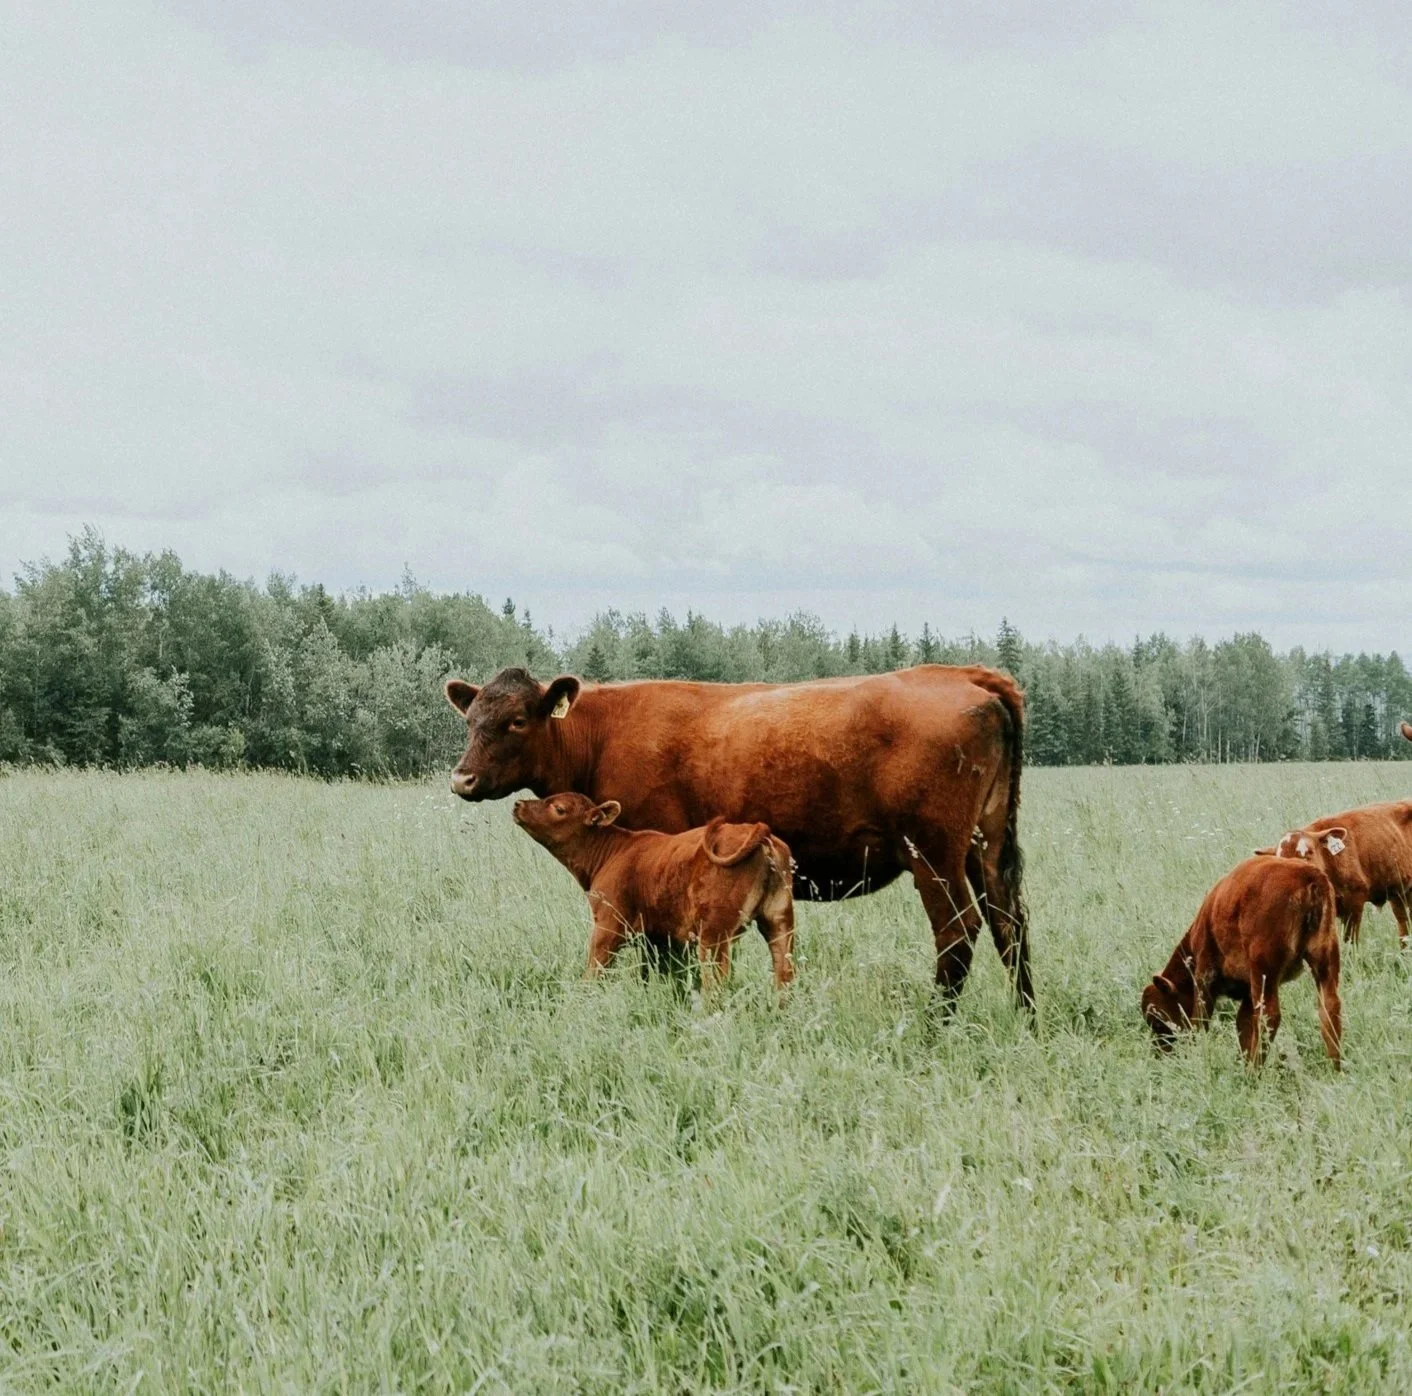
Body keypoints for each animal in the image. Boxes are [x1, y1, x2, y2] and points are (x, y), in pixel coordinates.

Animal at [511, 793, 796, 990]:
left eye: (559, 808)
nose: (518, 805)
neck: (611, 851)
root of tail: (760, 833)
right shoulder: (657, 934)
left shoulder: (608, 924)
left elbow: (595, 968)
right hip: (779, 920)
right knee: (785, 974)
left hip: (714, 933)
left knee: (716, 983)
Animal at [1142, 855, 1341, 1067]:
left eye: (1157, 1020)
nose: (1158, 1052)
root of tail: (1309, 875)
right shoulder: (1247, 991)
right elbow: (1243, 1028)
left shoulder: (1205, 973)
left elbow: (1201, 1020)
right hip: (1324, 960)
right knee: (1330, 1007)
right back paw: (1335, 1068)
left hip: (1264, 970)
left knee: (1269, 1016)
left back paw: (1255, 1070)